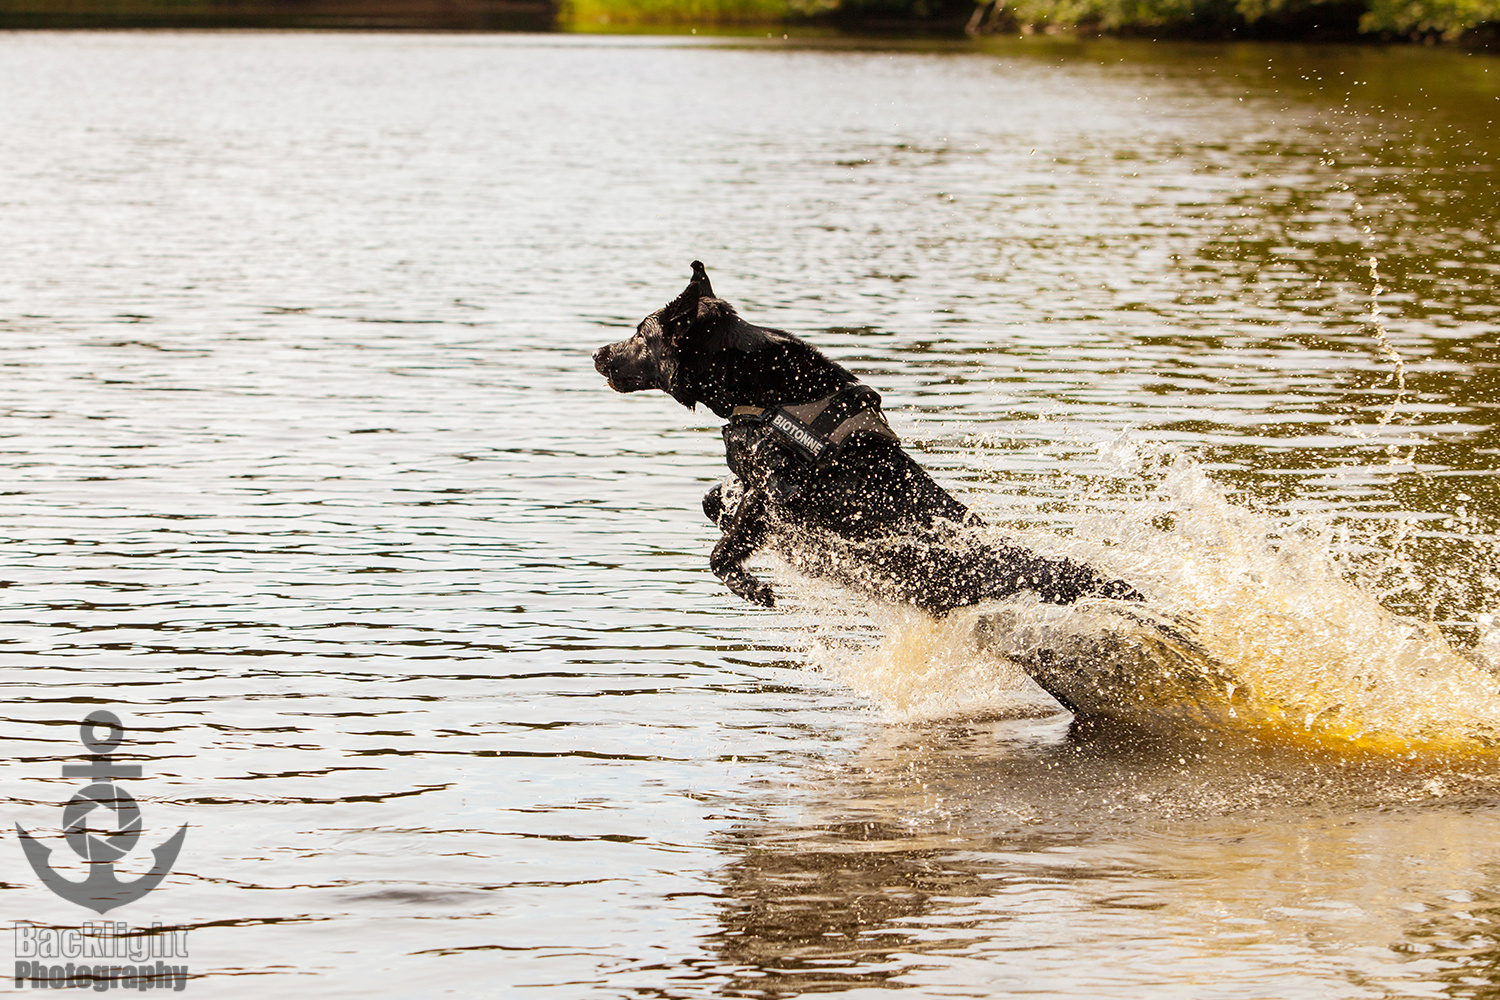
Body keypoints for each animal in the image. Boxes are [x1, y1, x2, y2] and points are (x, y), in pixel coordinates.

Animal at [591, 265, 1140, 620]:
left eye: (639, 333)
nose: (597, 353)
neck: (759, 389)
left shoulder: (778, 490)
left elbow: (721, 554)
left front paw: (755, 589)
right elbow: (713, 502)